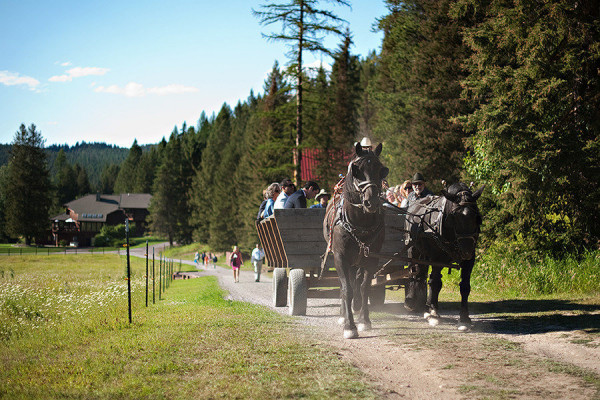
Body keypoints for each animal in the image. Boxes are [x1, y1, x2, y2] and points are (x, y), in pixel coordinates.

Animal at [324, 142, 390, 340]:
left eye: (381, 170)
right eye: (356, 170)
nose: (371, 202)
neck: (360, 222)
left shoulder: (371, 259)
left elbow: (364, 287)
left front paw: (364, 320)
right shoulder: (340, 258)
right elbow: (347, 289)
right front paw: (349, 325)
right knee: (344, 286)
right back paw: (343, 314)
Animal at [404, 183, 482, 330]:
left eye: (476, 214)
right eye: (454, 216)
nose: (466, 250)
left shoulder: (470, 261)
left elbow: (465, 286)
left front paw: (464, 318)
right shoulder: (437, 258)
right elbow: (435, 283)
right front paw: (433, 313)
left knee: (423, 276)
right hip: (413, 249)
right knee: (416, 274)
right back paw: (414, 303)